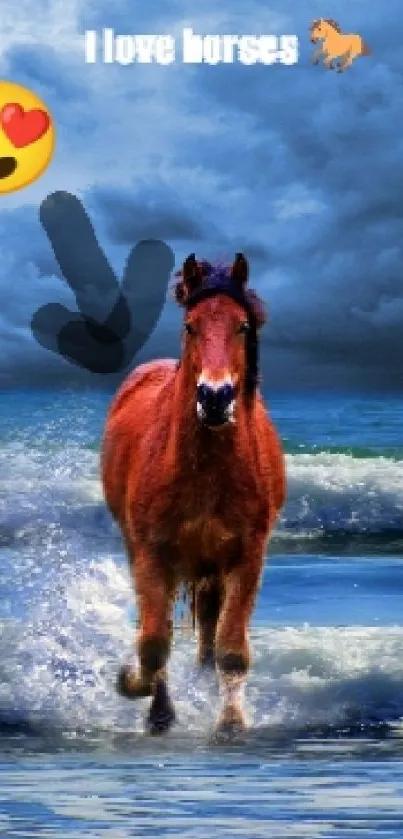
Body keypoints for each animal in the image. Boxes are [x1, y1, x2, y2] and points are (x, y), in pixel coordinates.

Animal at [102, 254, 288, 736]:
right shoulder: (152, 554)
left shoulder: (247, 556)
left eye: (242, 326)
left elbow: (231, 648)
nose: (215, 396)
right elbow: (152, 641)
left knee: (208, 628)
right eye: (191, 326)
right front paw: (136, 690)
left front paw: (231, 723)